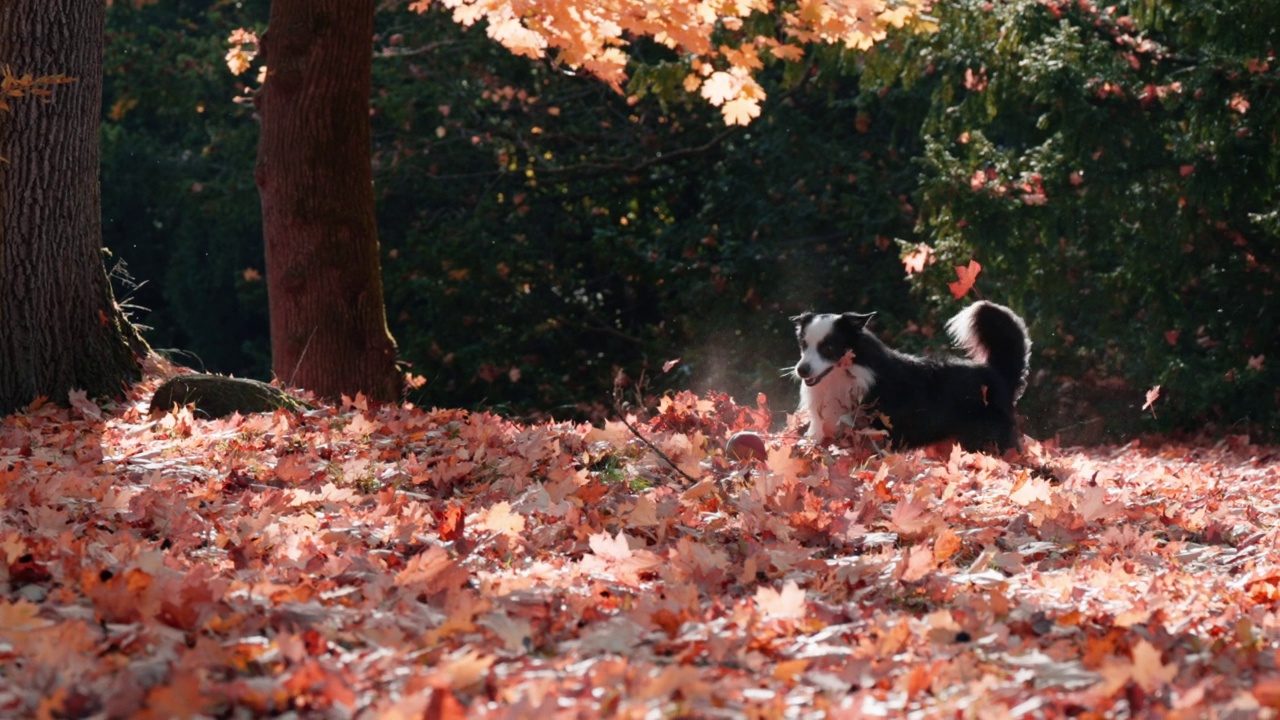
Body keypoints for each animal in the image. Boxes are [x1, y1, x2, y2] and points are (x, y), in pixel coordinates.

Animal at [788, 299, 1029, 450]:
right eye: (803, 345)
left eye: (828, 348)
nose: (801, 370)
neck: (848, 373)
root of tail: (997, 372)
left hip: (986, 438)